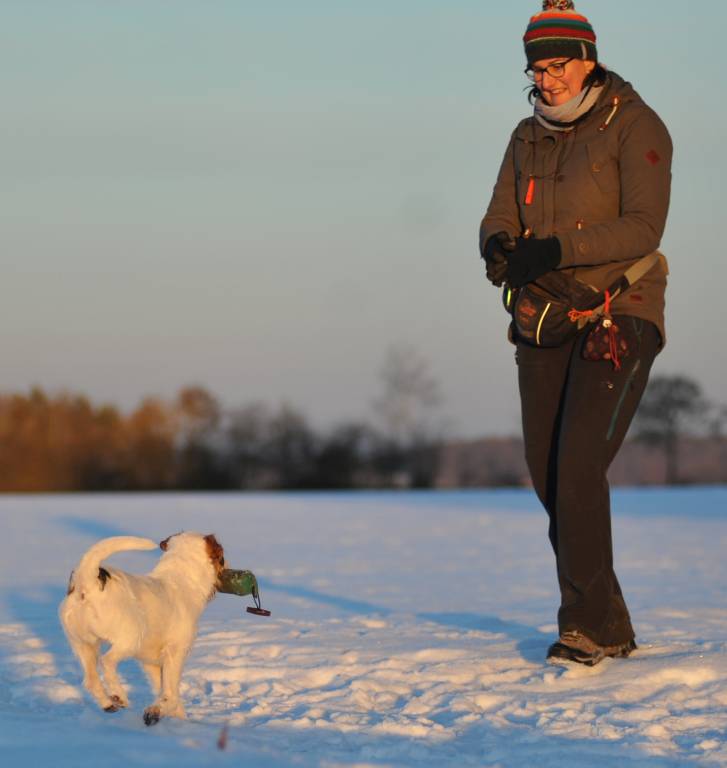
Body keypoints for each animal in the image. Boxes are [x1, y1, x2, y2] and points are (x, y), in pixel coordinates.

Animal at [59, 532, 225, 724]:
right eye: (221, 558)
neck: (180, 578)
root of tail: (88, 582)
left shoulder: (151, 663)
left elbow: (165, 691)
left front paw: (173, 716)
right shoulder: (175, 653)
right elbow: (171, 692)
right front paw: (160, 711)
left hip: (84, 645)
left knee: (91, 680)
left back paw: (108, 704)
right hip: (130, 639)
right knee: (107, 661)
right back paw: (119, 695)